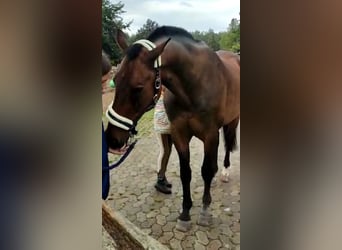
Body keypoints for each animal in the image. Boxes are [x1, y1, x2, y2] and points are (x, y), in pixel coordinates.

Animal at [105, 26, 239, 231]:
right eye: (115, 80)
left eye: (138, 88)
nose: (112, 139)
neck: (194, 86)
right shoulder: (179, 134)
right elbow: (186, 173)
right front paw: (185, 213)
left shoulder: (210, 135)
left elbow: (206, 170)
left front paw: (204, 211)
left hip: (233, 120)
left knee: (227, 146)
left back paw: (224, 171)